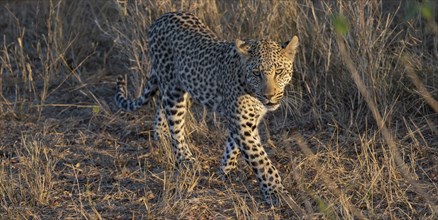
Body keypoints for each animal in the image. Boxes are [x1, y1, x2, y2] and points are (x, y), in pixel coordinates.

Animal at [114, 11, 300, 205]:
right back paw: (185, 159)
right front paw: (276, 193)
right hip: (173, 91)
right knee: (176, 126)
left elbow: (233, 147)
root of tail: (161, 18)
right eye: (256, 73)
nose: (269, 96)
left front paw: (225, 171)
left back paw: (161, 136)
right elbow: (261, 160)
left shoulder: (248, 121)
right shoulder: (242, 123)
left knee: (161, 105)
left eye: (279, 71)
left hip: (185, 87)